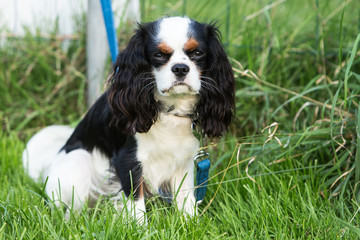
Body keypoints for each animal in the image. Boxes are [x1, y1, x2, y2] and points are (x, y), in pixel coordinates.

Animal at [23, 16, 236, 222]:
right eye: (159, 55)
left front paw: (191, 224)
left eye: (198, 53)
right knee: (70, 211)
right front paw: (141, 229)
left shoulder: (183, 162)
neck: (169, 109)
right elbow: (136, 204)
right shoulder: (128, 161)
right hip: (78, 161)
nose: (181, 68)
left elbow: (186, 199)